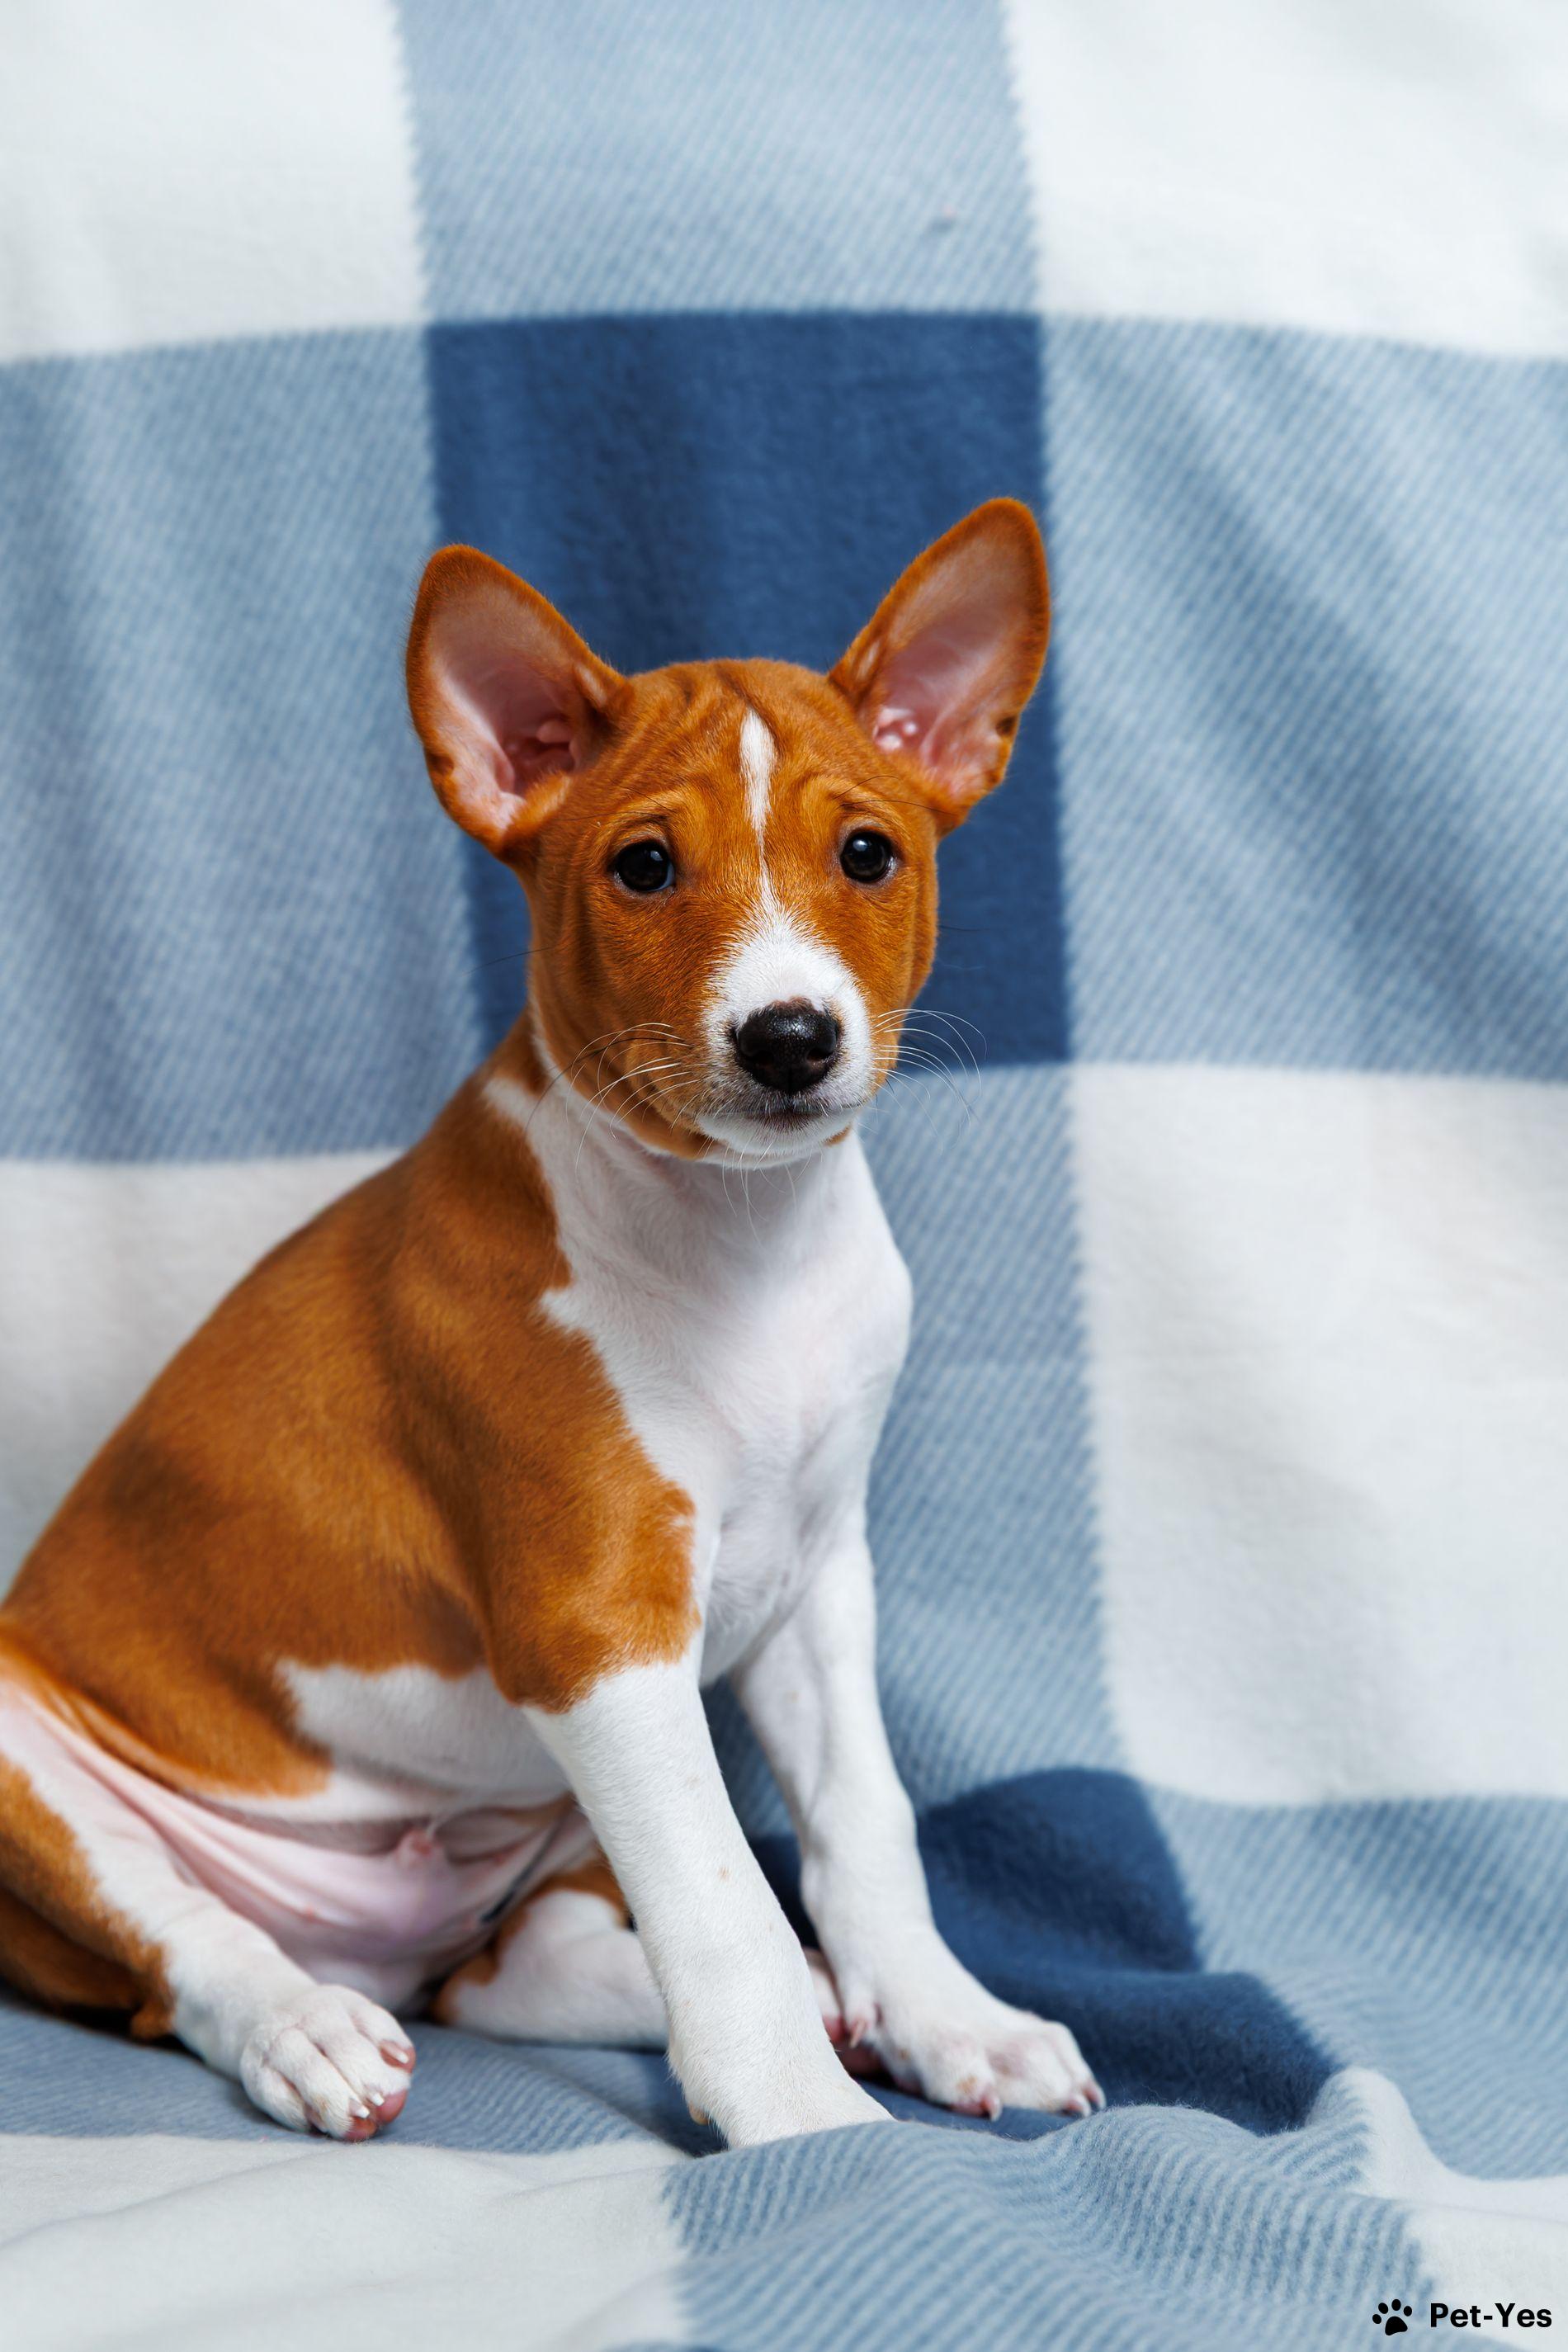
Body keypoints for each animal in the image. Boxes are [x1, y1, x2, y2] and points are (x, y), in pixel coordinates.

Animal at [0, 499, 1101, 2147]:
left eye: (868, 853)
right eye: (644, 866)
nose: (790, 1036)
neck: (744, 1252)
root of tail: (375, 1938)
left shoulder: (813, 1588)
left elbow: (865, 1827)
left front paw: (943, 2017)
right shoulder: (599, 1630)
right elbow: (721, 1893)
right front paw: (804, 2125)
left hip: (541, 1835)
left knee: (516, 1974)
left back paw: (829, 2001)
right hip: (50, 1766)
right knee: (183, 1942)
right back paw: (304, 2026)